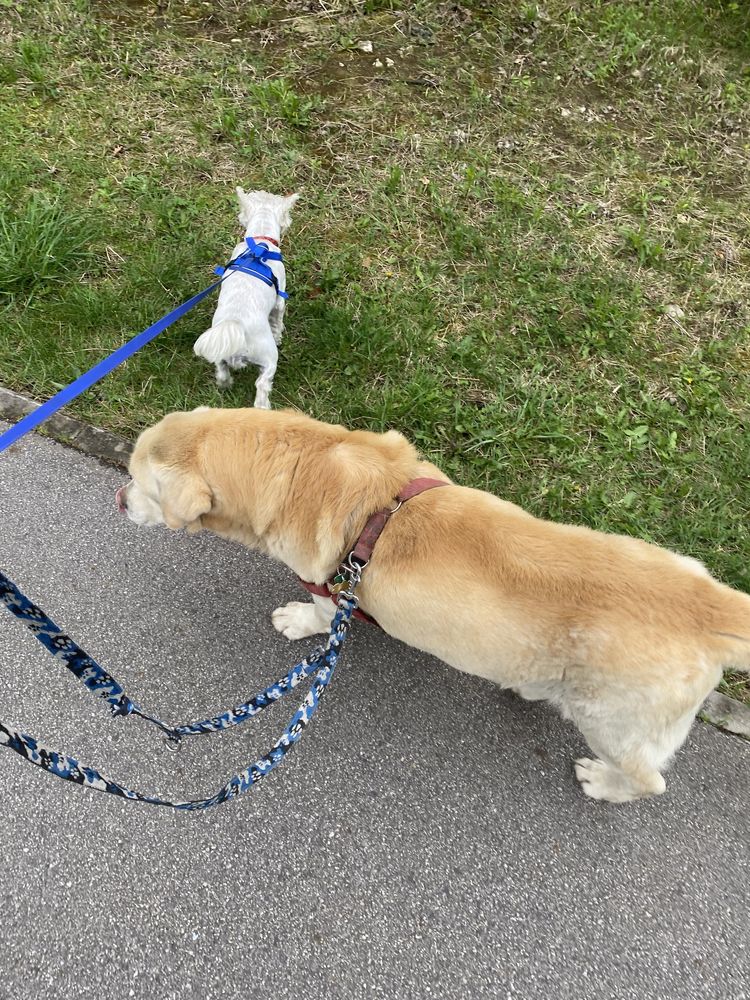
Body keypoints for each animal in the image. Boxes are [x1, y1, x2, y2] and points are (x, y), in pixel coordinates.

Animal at [119, 406, 750, 804]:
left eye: (138, 483)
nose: (119, 499)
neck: (301, 461)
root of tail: (711, 607)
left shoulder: (332, 587)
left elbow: (320, 615)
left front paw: (295, 621)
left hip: (611, 721)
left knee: (650, 780)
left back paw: (605, 783)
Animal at [194, 188, 300, 406]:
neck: (260, 241)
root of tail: (237, 324)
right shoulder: (280, 299)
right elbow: (278, 320)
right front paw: (279, 335)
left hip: (220, 352)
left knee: (221, 371)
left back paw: (225, 385)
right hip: (269, 357)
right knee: (262, 386)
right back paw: (264, 407)